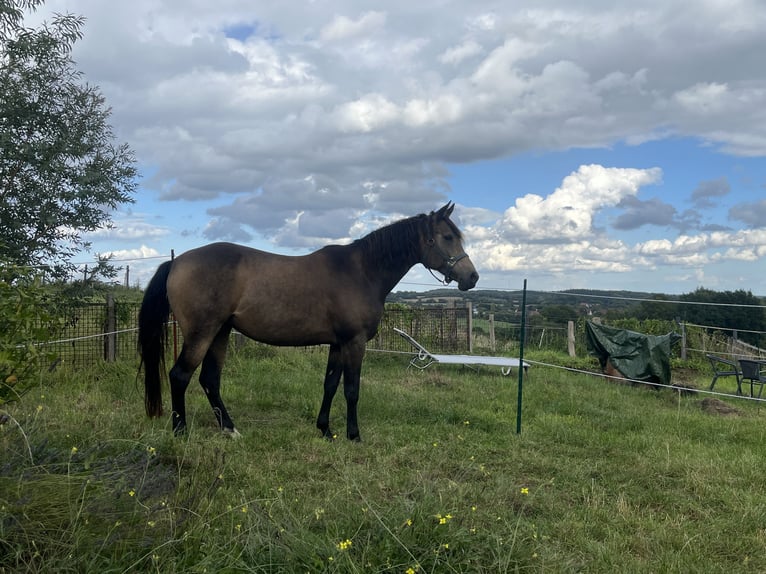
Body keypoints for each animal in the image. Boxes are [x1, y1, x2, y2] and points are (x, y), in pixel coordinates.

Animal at [137, 202, 478, 441]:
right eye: (448, 237)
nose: (472, 277)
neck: (362, 272)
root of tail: (176, 262)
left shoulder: (338, 344)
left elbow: (330, 385)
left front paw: (325, 430)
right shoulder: (354, 343)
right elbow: (352, 389)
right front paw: (354, 435)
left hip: (220, 332)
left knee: (209, 380)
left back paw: (230, 430)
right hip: (202, 333)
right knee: (180, 375)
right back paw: (180, 432)